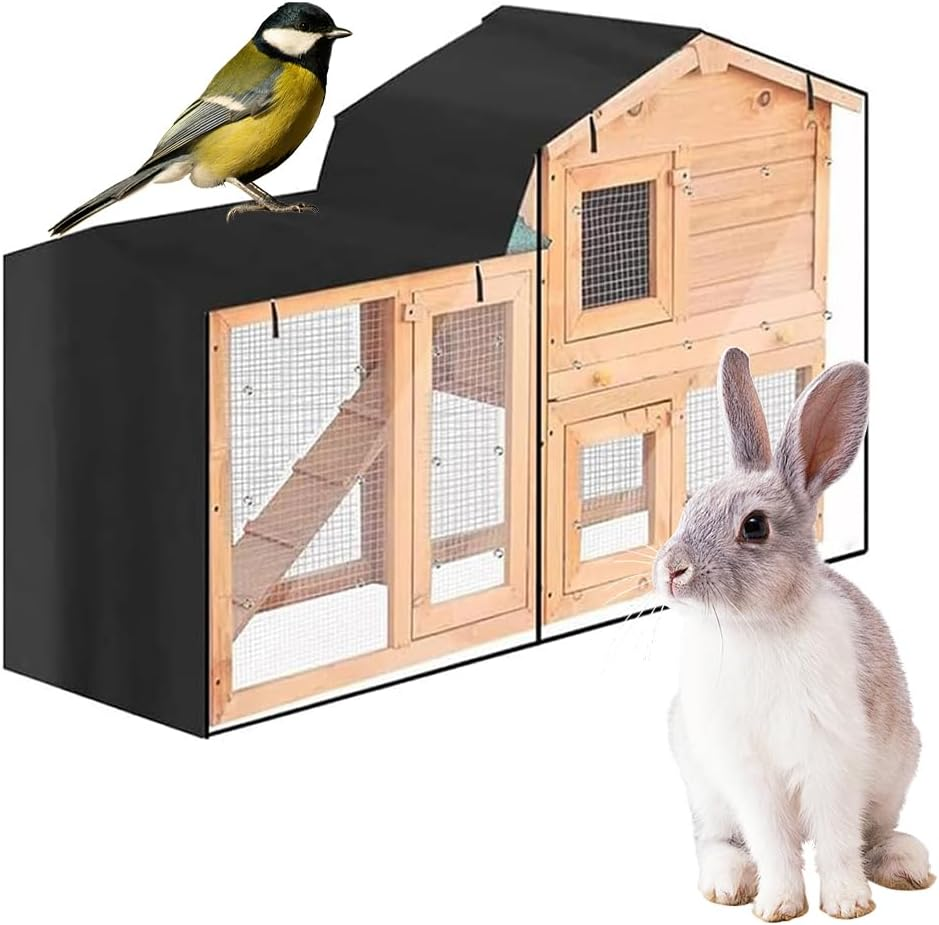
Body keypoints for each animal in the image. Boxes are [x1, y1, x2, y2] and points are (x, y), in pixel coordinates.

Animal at [653, 348, 933, 921]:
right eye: (691, 505)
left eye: (754, 526)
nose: (671, 571)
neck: (757, 627)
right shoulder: (748, 773)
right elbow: (772, 842)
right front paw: (779, 905)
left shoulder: (833, 760)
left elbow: (837, 839)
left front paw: (848, 904)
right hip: (704, 785)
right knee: (715, 840)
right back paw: (727, 884)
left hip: (896, 772)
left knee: (873, 834)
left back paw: (907, 866)